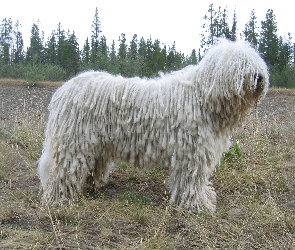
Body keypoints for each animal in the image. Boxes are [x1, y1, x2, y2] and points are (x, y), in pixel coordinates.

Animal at [38, 40, 270, 212]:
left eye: (255, 61)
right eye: (239, 63)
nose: (258, 77)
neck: (201, 97)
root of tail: (64, 90)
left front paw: (206, 197)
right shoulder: (192, 153)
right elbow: (191, 182)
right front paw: (197, 205)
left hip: (95, 145)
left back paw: (91, 186)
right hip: (74, 144)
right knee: (61, 173)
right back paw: (59, 200)